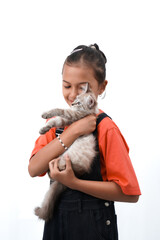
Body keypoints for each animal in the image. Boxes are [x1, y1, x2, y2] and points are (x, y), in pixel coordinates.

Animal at [34, 86, 99, 221]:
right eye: (75, 99)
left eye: (79, 103)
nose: (73, 103)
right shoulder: (66, 120)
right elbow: (55, 121)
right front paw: (43, 129)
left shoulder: (72, 115)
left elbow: (59, 110)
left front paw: (46, 114)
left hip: (64, 160)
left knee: (53, 172)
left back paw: (51, 170)